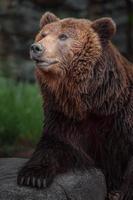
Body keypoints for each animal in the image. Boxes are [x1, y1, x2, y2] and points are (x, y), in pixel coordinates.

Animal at [17, 12, 132, 198]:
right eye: (43, 34)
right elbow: (56, 143)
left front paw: (123, 192)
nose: (36, 48)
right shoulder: (64, 115)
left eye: (63, 36)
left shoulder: (120, 116)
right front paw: (33, 177)